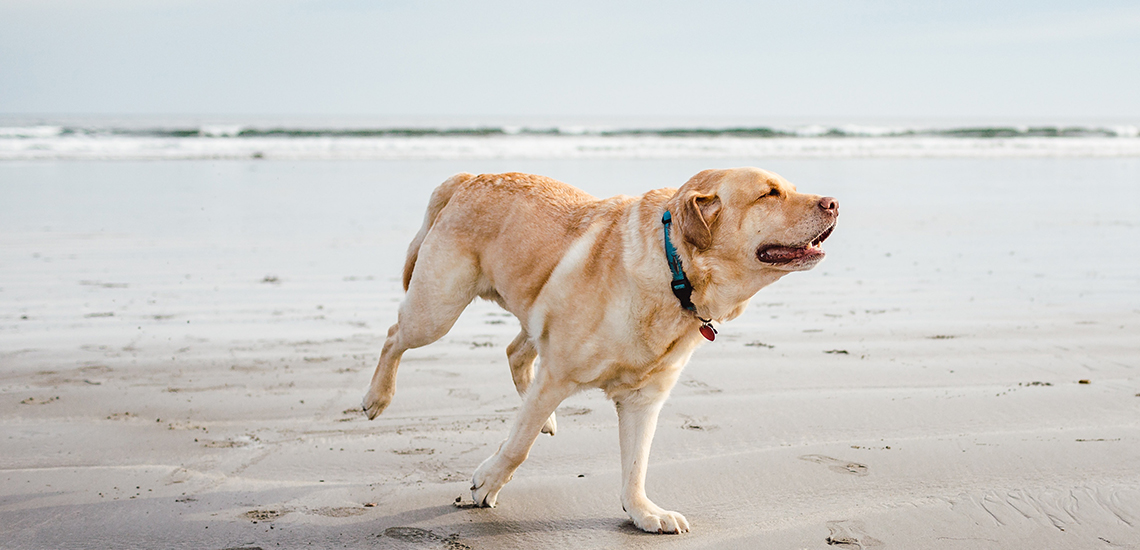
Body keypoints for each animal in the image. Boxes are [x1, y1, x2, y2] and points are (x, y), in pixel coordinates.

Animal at [364, 167, 839, 531]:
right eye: (770, 193)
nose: (833, 202)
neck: (674, 272)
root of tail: (468, 178)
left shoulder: (644, 399)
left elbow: (636, 465)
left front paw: (643, 512)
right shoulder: (559, 374)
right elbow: (518, 446)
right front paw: (488, 483)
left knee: (516, 353)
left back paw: (545, 418)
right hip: (437, 309)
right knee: (394, 335)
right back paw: (377, 397)